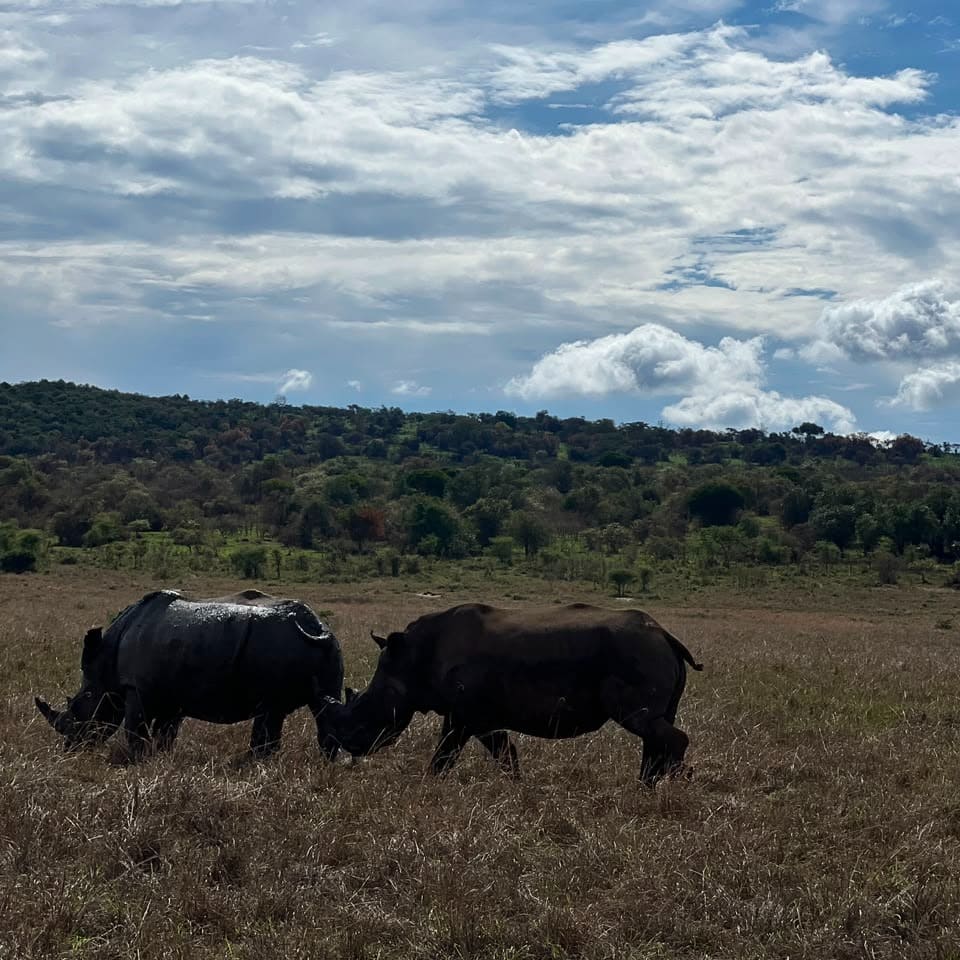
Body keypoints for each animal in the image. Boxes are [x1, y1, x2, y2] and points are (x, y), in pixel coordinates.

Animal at [35, 589, 344, 761]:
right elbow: (165, 733)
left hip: (277, 647)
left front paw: (134, 760)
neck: (105, 664)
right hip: (328, 648)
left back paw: (252, 764)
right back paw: (322, 764)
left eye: (79, 704)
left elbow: (134, 729)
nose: (70, 748)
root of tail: (317, 626)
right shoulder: (171, 694)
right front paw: (159, 758)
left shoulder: (136, 688)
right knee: (318, 709)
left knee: (269, 710)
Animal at [322, 602, 701, 783]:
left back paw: (668, 783)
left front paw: (428, 783)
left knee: (645, 723)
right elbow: (504, 753)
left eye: (372, 703)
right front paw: (517, 785)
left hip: (636, 654)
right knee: (654, 727)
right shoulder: (477, 714)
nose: (350, 747)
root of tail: (665, 635)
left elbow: (447, 753)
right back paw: (647, 785)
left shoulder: (466, 714)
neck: (413, 658)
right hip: (646, 652)